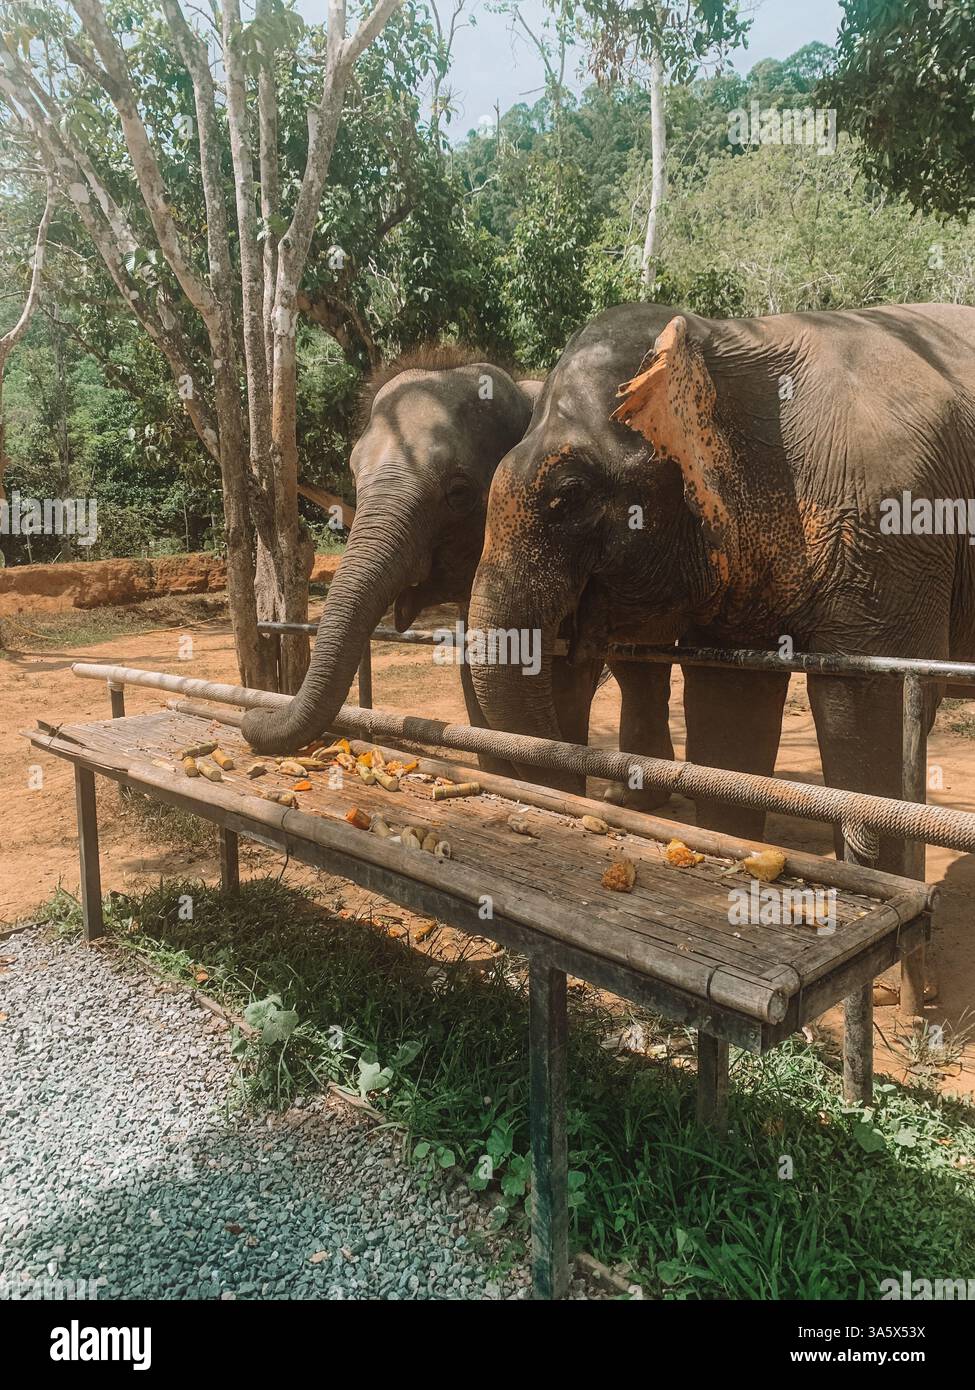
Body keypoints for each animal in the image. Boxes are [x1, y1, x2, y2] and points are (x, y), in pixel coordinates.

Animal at [240, 343, 674, 801]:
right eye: (355, 474)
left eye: (460, 492)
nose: (253, 716)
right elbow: (475, 672)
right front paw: (502, 774)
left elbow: (565, 678)